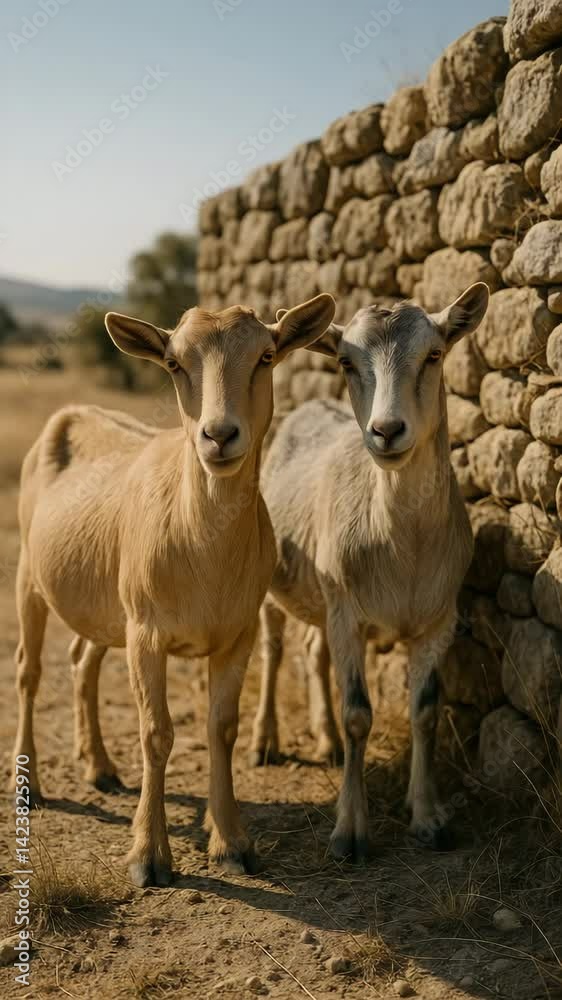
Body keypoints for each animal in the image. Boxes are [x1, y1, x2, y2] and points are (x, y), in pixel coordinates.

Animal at [12, 294, 336, 887]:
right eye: (173, 363)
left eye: (266, 355)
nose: (219, 435)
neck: (202, 549)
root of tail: (70, 413)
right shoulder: (147, 633)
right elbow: (156, 732)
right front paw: (148, 857)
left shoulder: (236, 632)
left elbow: (222, 727)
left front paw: (231, 843)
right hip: (30, 573)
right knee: (28, 670)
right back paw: (29, 787)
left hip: (106, 602)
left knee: (82, 660)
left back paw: (99, 766)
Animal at [250, 284, 490, 860]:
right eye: (345, 361)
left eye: (434, 354)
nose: (386, 431)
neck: (404, 548)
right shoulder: (350, 617)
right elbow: (359, 713)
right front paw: (349, 832)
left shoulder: (438, 620)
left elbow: (426, 712)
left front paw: (428, 817)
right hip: (282, 587)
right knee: (273, 650)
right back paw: (265, 740)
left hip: (326, 597)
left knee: (313, 652)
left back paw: (328, 743)